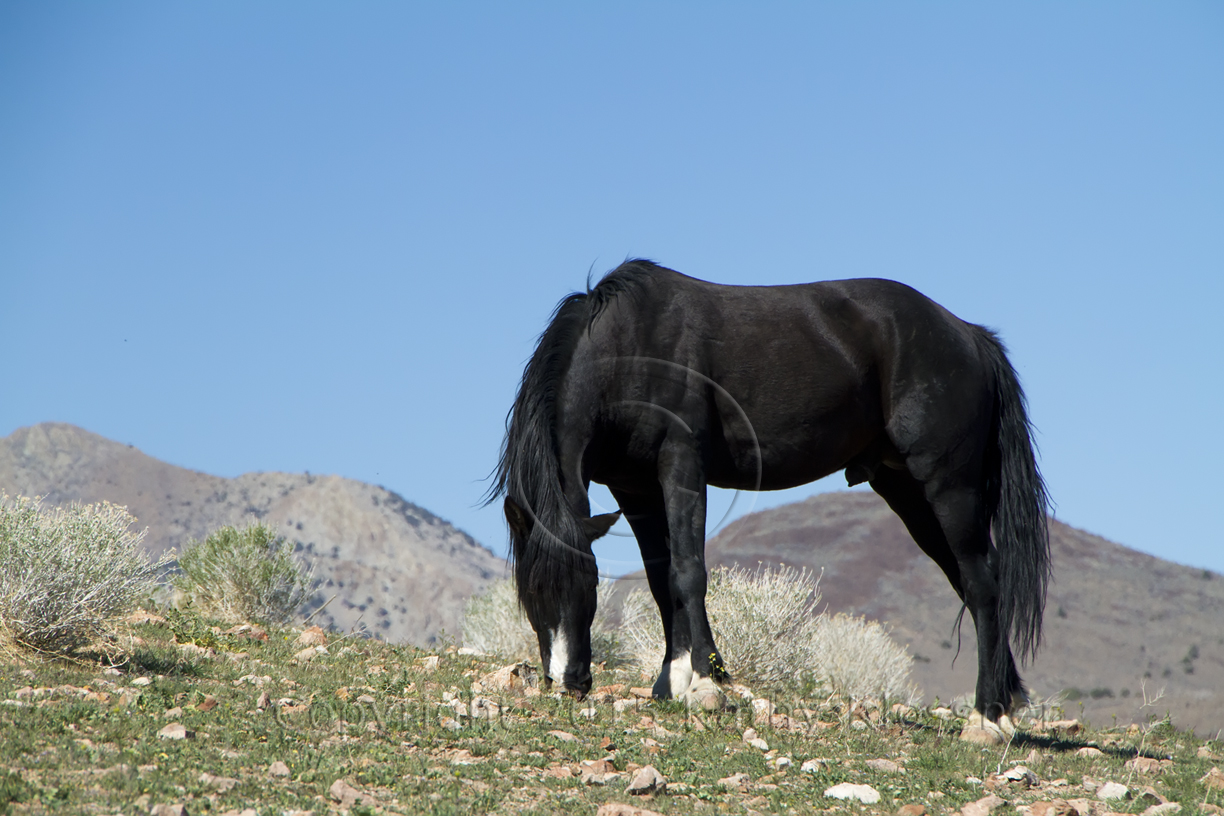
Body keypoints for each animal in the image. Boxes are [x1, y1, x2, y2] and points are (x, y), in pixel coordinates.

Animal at [492, 260, 1047, 738]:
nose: (569, 682)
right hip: (908, 491)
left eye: (587, 582)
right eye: (530, 591)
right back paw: (1005, 701)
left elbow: (687, 572)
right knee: (973, 582)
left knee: (982, 585)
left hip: (949, 486)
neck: (628, 345)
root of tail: (968, 334)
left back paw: (987, 717)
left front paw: (706, 682)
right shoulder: (635, 489)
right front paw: (671, 680)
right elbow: (659, 580)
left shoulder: (682, 466)